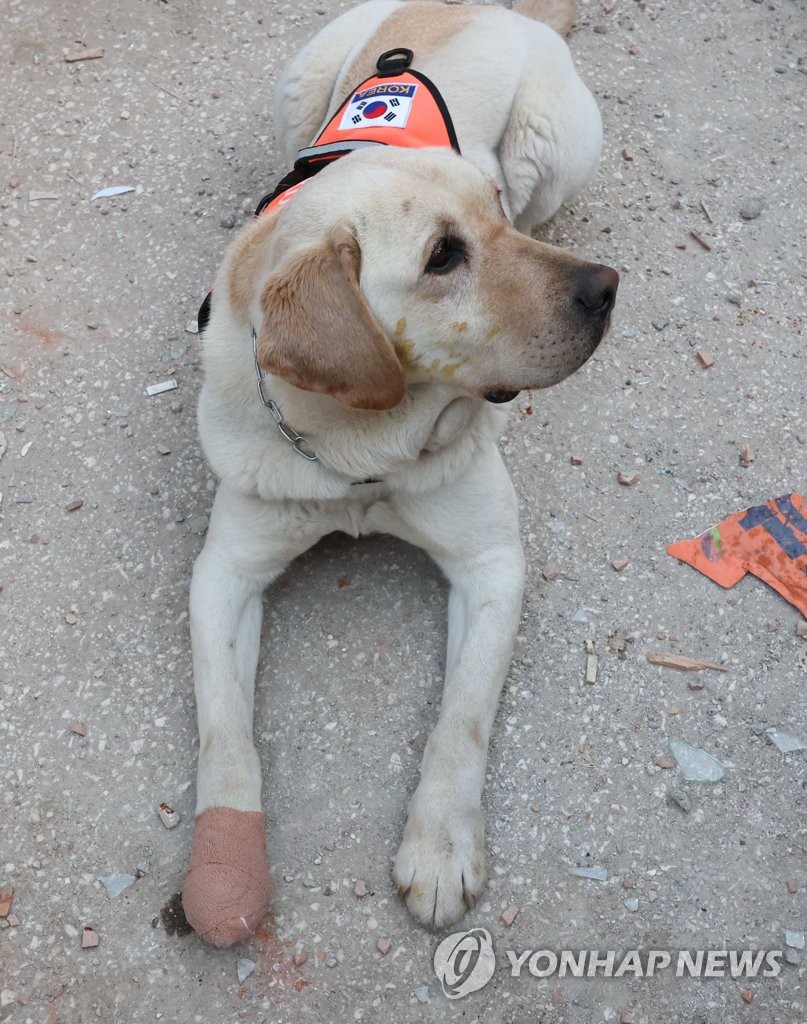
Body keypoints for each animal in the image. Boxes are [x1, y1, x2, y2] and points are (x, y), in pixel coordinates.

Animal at [183, 0, 614, 946]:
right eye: (442, 257)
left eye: (491, 215)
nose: (608, 290)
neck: (360, 455)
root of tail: (499, 8)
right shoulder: (223, 573)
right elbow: (223, 732)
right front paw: (223, 867)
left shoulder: (491, 565)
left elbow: (460, 721)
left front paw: (440, 848)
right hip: (299, 82)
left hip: (548, 147)